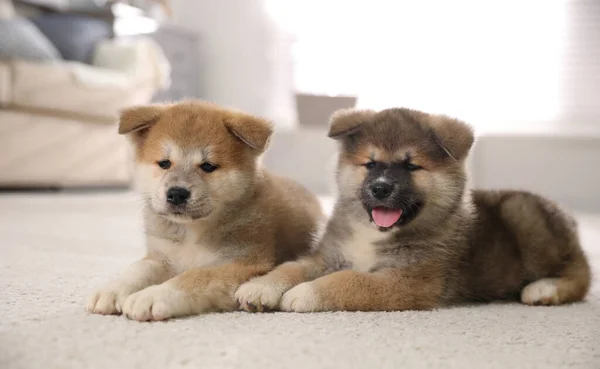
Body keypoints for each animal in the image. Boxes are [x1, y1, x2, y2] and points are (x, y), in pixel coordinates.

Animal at [85, 100, 324, 320]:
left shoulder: (242, 263)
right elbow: (138, 269)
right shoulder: (162, 257)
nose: (176, 193)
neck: (192, 232)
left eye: (208, 166)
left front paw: (151, 295)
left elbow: (193, 277)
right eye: (164, 163)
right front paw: (112, 289)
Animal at [234, 105, 592, 310]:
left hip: (524, 217)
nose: (380, 188)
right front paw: (259, 287)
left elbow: (349, 281)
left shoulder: (408, 282)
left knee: (581, 273)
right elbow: (289, 268)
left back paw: (544, 289)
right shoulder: (327, 257)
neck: (374, 234)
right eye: (371, 164)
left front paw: (305, 294)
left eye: (411, 167)